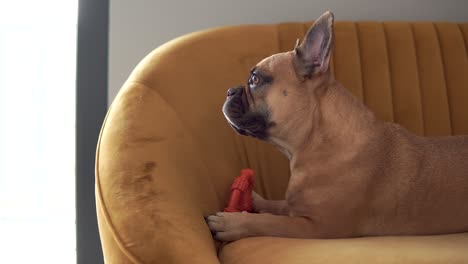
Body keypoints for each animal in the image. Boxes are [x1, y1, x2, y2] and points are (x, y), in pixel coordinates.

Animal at [207, 10, 468, 241]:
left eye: (255, 79)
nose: (229, 91)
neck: (315, 141)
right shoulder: (295, 207)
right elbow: (277, 205)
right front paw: (255, 201)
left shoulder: (316, 226)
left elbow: (269, 221)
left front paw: (233, 222)